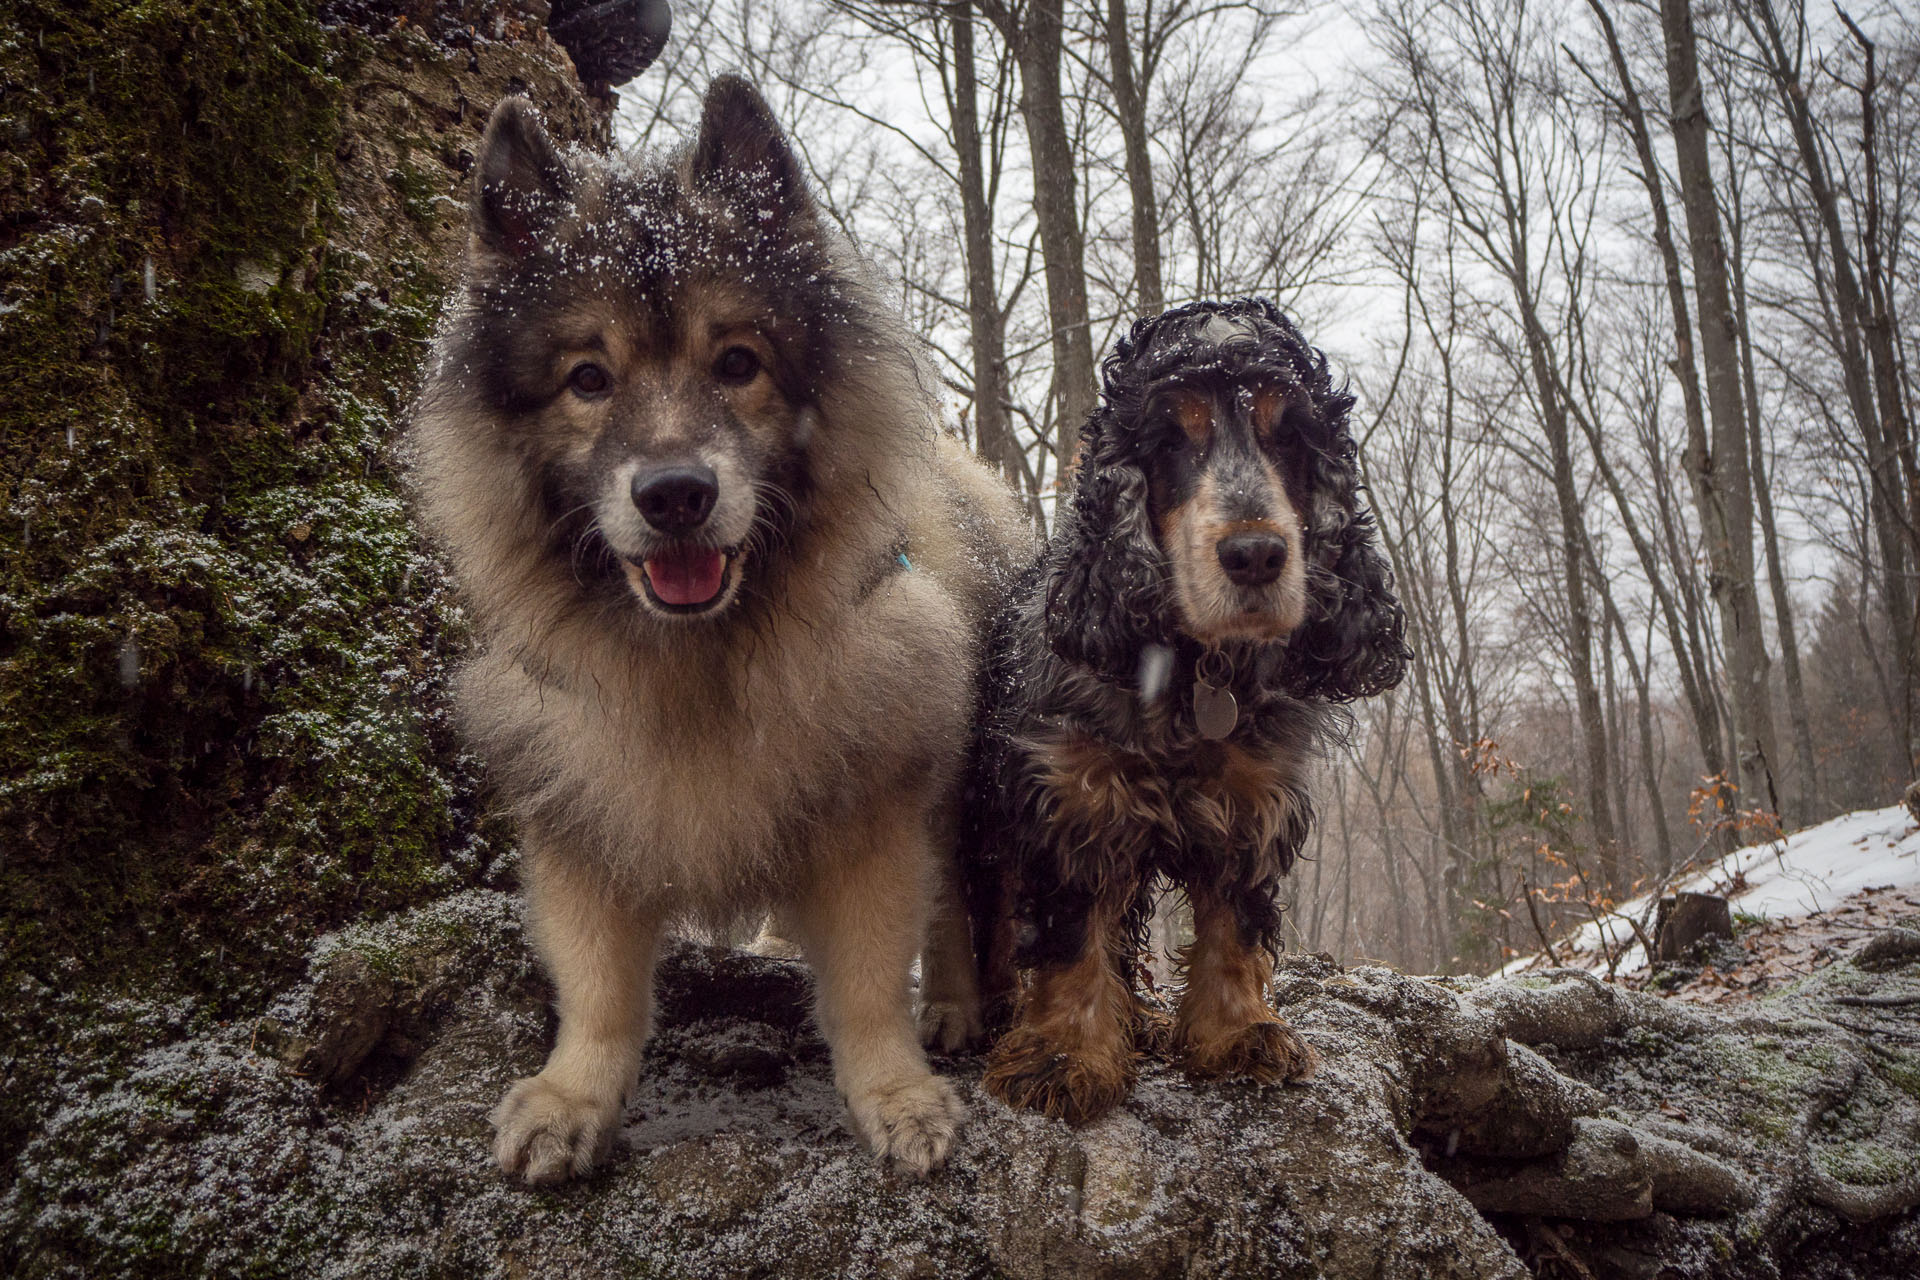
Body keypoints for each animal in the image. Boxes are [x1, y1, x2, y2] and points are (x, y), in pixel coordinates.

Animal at [412, 77, 1029, 1182]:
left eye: (738, 362)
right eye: (588, 379)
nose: (674, 494)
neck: (700, 659)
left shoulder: (873, 811)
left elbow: (871, 981)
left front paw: (895, 1091)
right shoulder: (582, 813)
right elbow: (599, 988)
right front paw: (574, 1097)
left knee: (955, 904)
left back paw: (955, 1008)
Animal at [967, 297, 1405, 1120]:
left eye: (1288, 435)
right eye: (1171, 440)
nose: (1255, 555)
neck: (1193, 673)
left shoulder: (1252, 801)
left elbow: (1235, 924)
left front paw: (1239, 1034)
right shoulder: (1074, 798)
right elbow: (1071, 935)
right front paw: (1063, 1054)